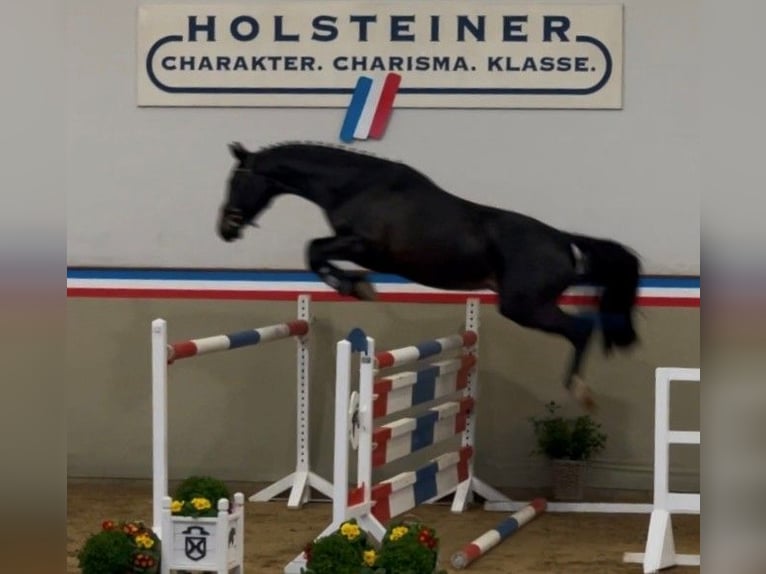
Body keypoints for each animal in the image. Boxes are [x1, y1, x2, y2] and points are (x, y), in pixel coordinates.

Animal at [216, 141, 640, 412]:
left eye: (236, 180)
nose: (225, 229)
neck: (356, 185)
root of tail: (564, 241)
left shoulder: (364, 247)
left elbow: (314, 249)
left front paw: (356, 286)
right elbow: (316, 250)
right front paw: (356, 285)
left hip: (524, 307)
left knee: (580, 330)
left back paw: (581, 392)